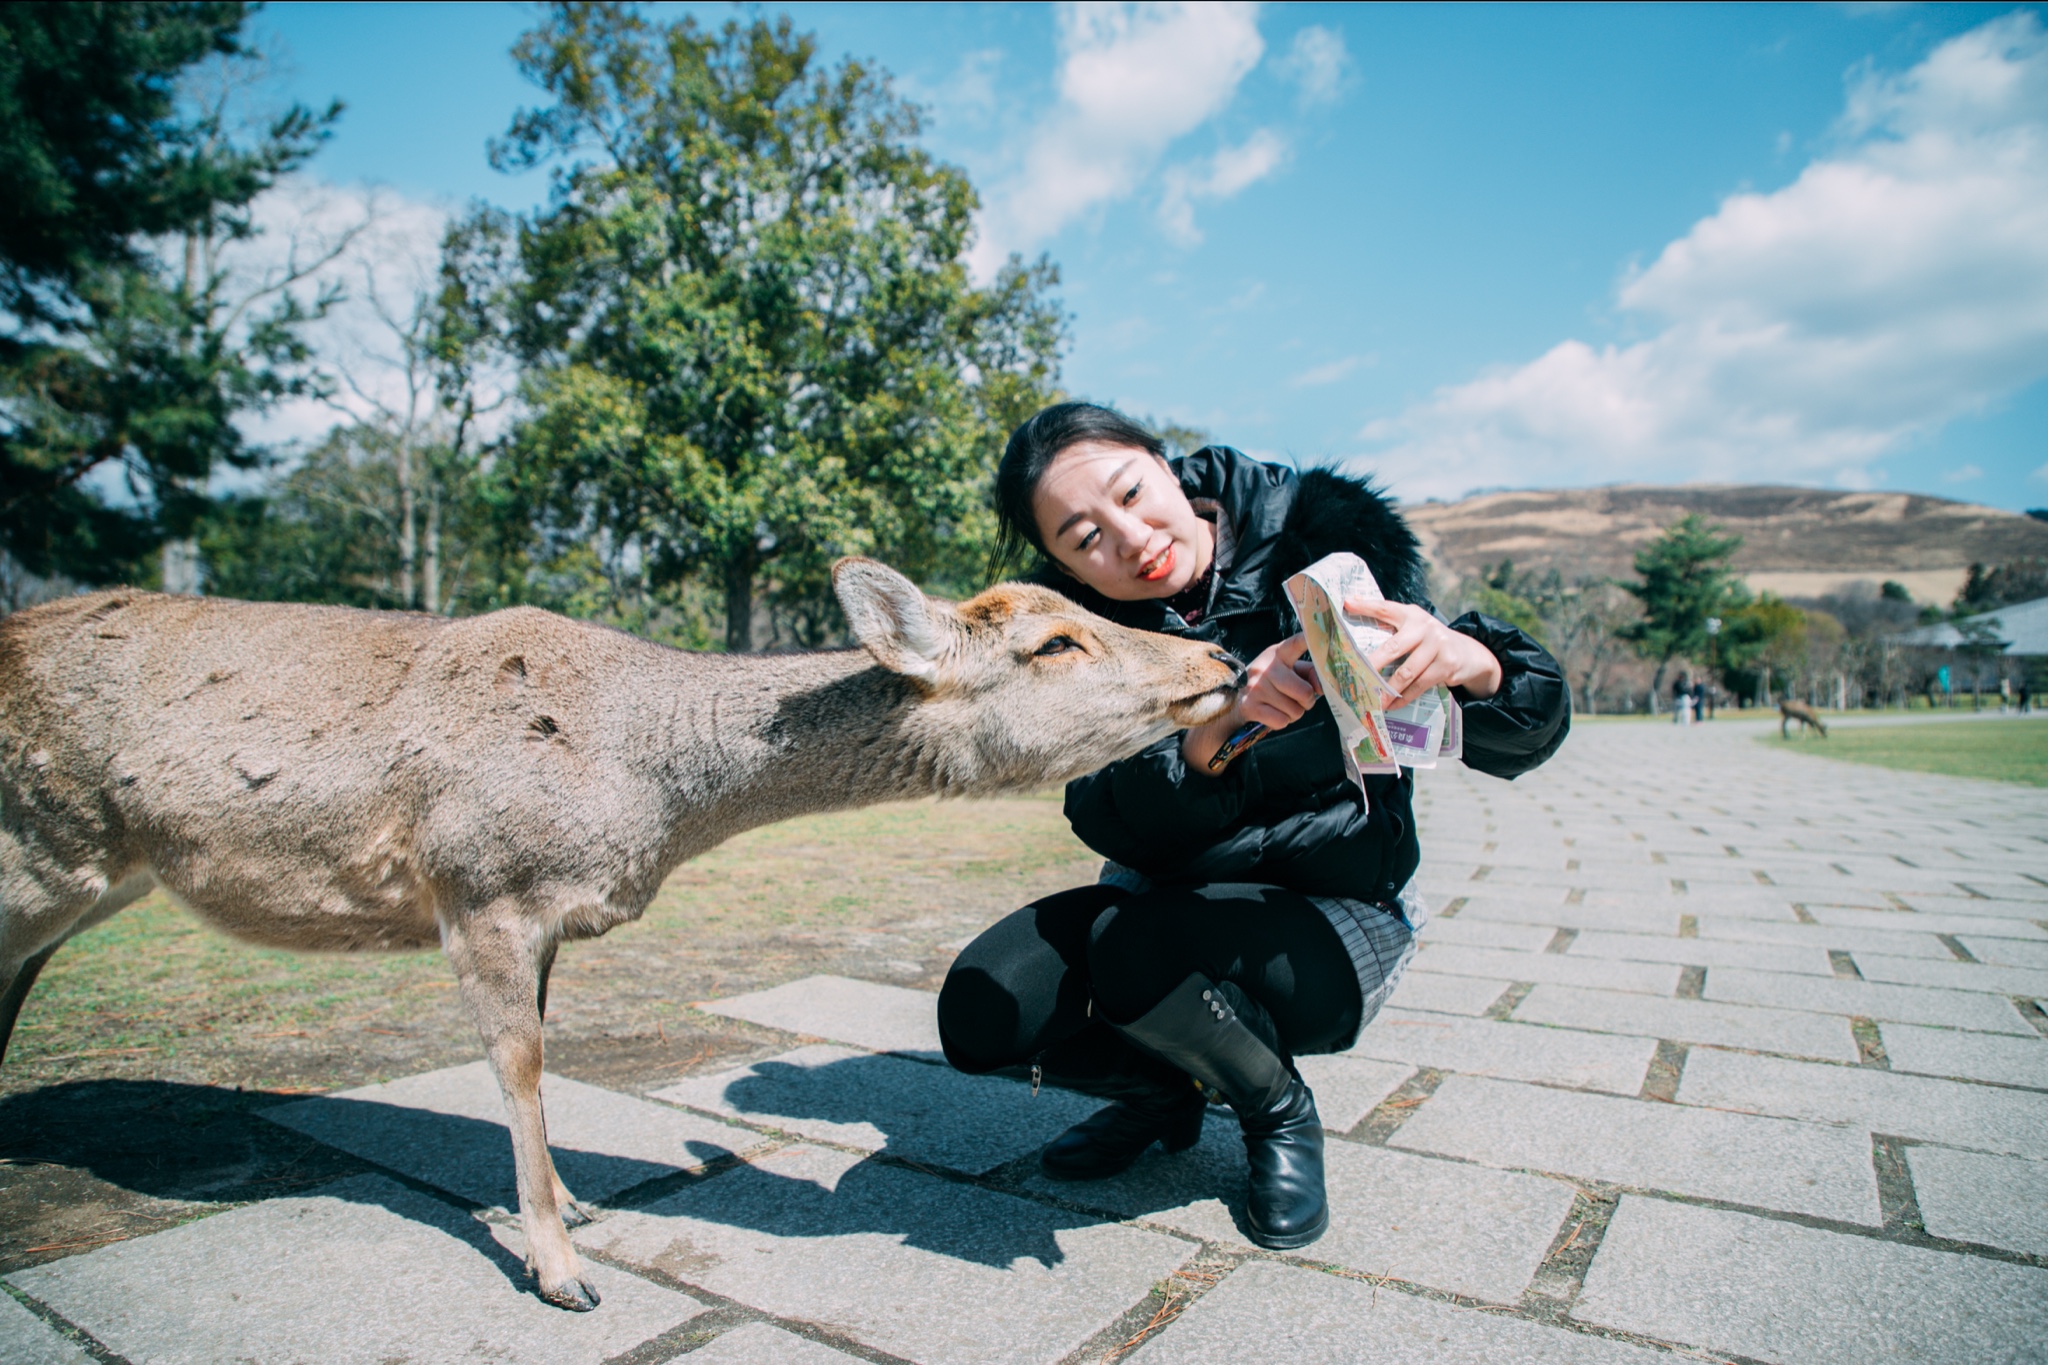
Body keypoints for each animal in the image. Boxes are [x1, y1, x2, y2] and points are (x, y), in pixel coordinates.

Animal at [0, 556, 1236, 1309]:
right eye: (1055, 643)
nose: (1220, 659)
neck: (646, 801)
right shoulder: (480, 884)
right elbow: (519, 1063)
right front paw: (561, 1272)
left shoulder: (544, 915)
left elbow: (538, 1067)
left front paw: (569, 1206)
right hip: (41, 852)